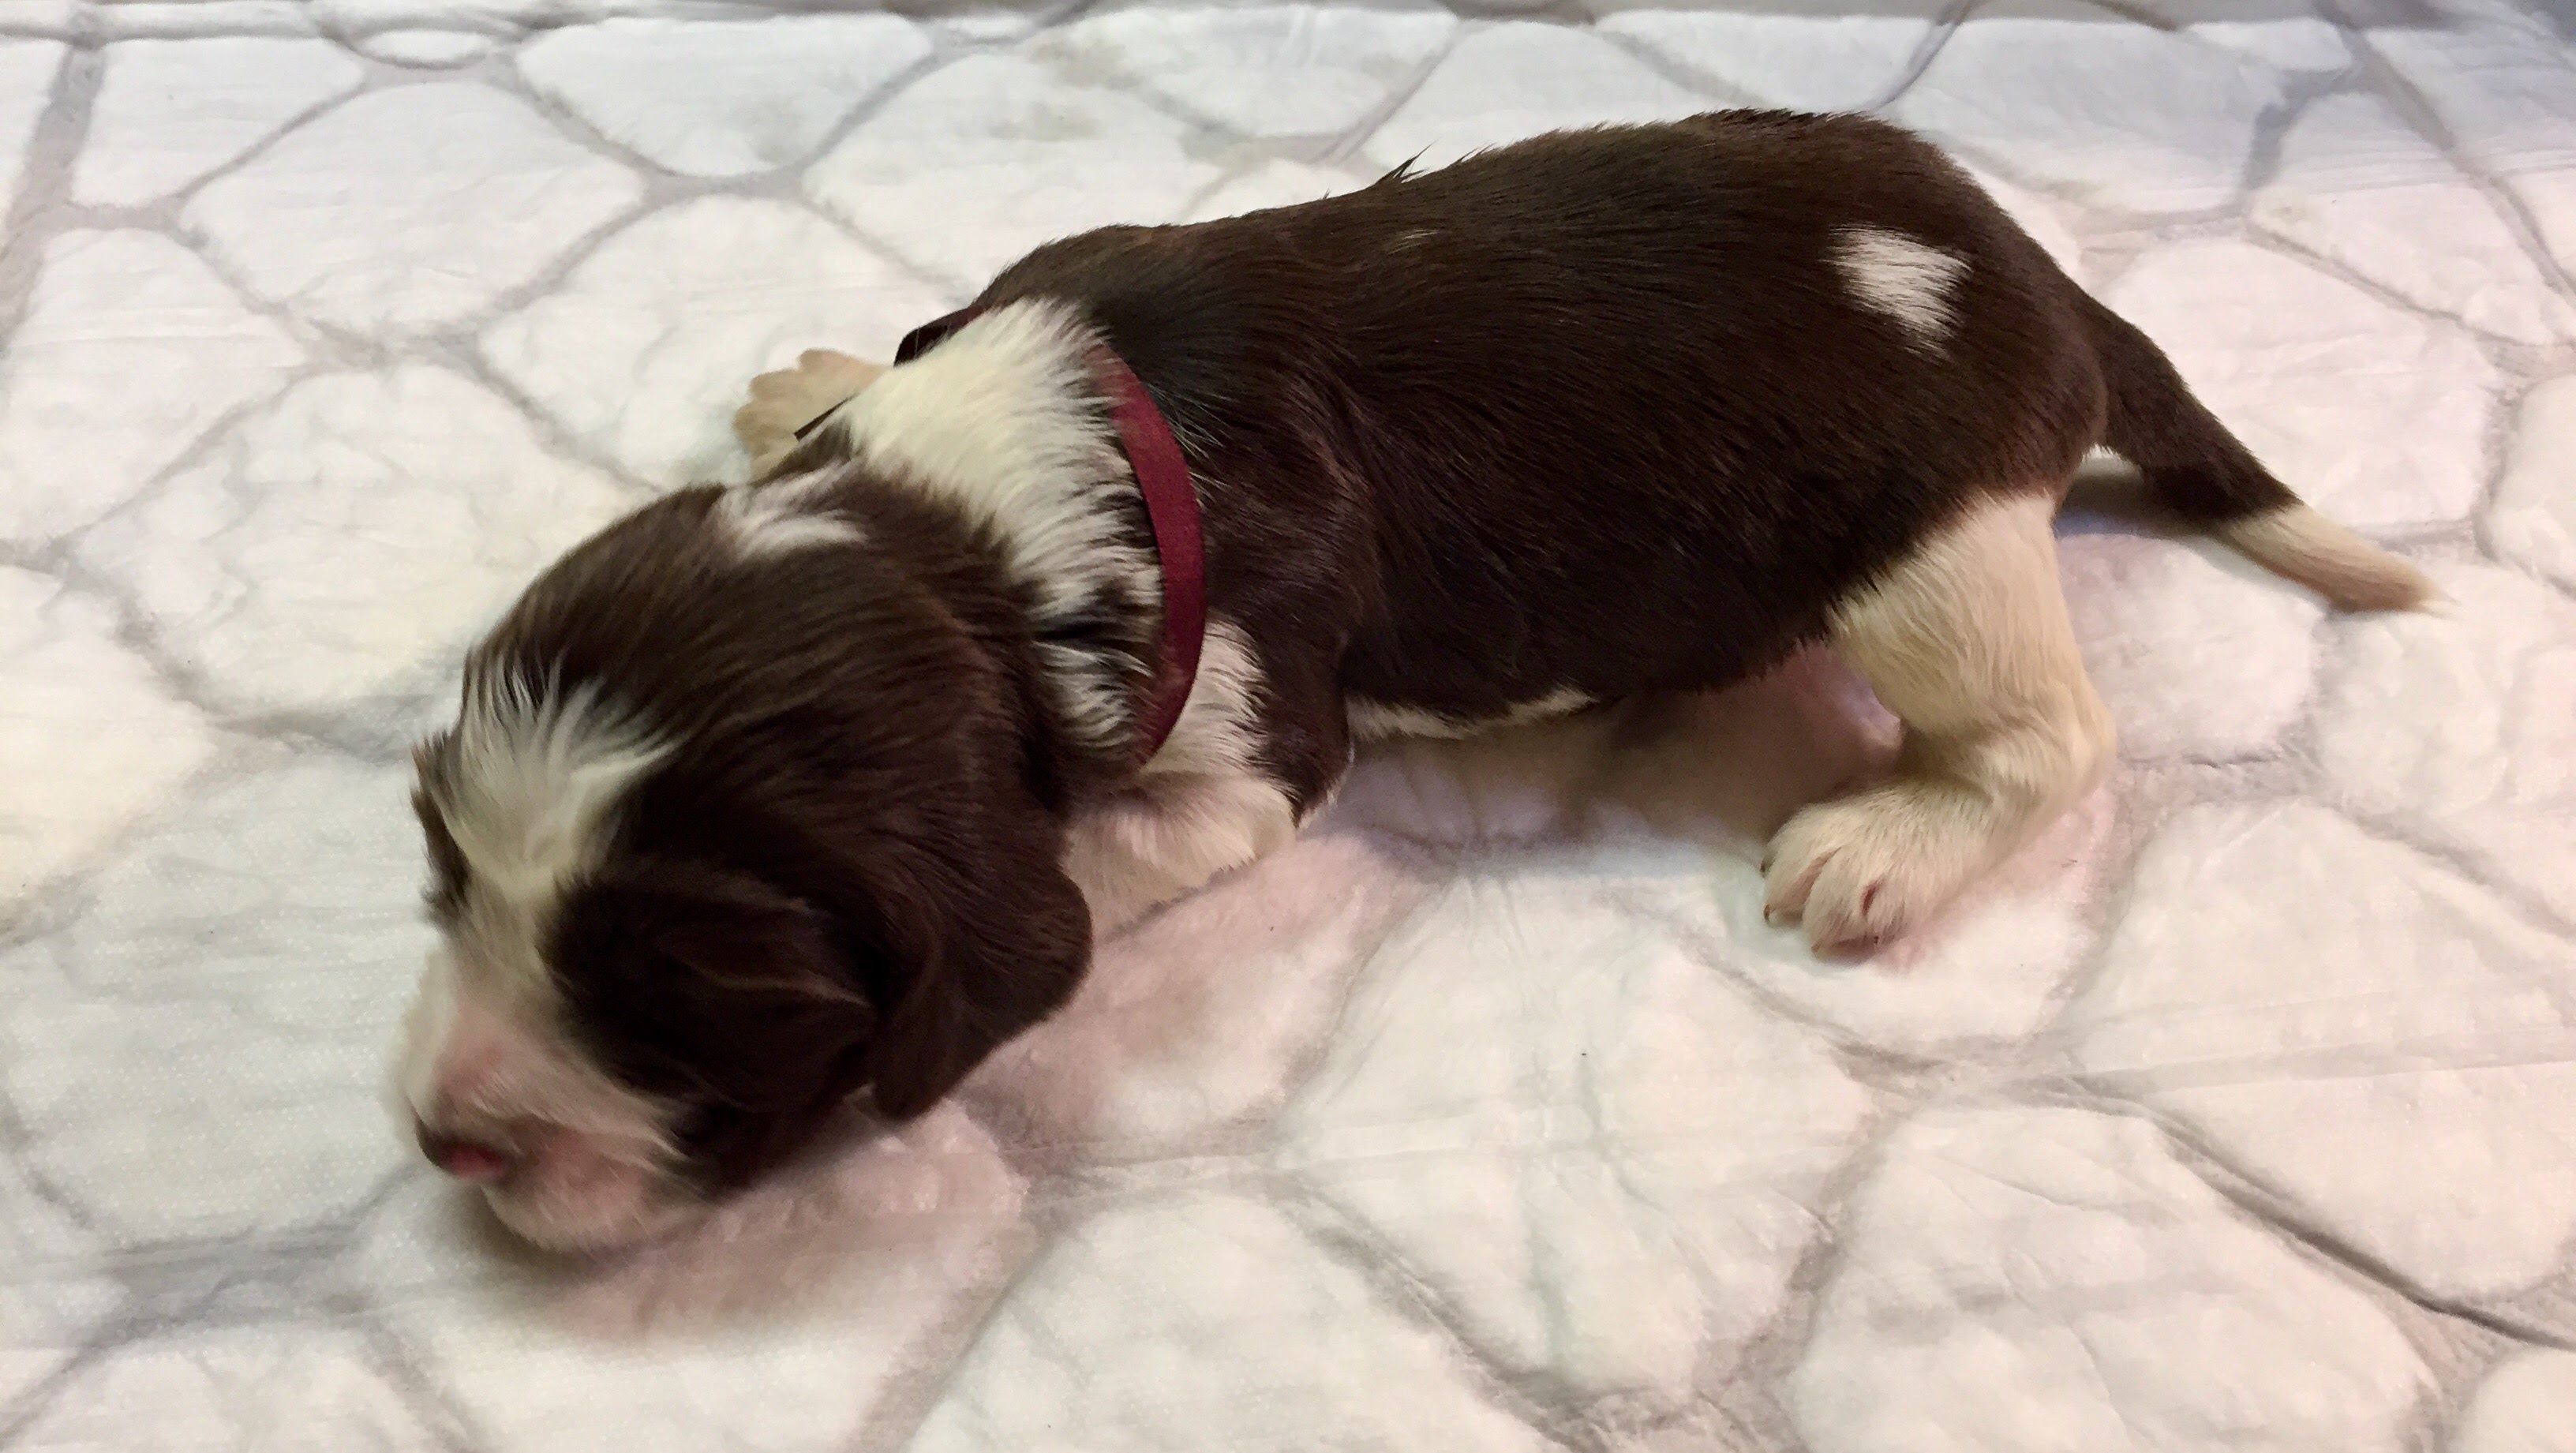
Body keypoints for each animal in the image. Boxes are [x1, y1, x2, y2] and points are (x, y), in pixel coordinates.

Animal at [393, 111, 2431, 1251]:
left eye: (682, 984)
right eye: (443, 873)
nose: (438, 1139)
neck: (968, 538)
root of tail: (2048, 290)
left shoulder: (1255, 737)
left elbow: (1099, 868)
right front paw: (814, 377)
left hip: (1922, 554)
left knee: (2051, 735)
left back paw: (1886, 844)